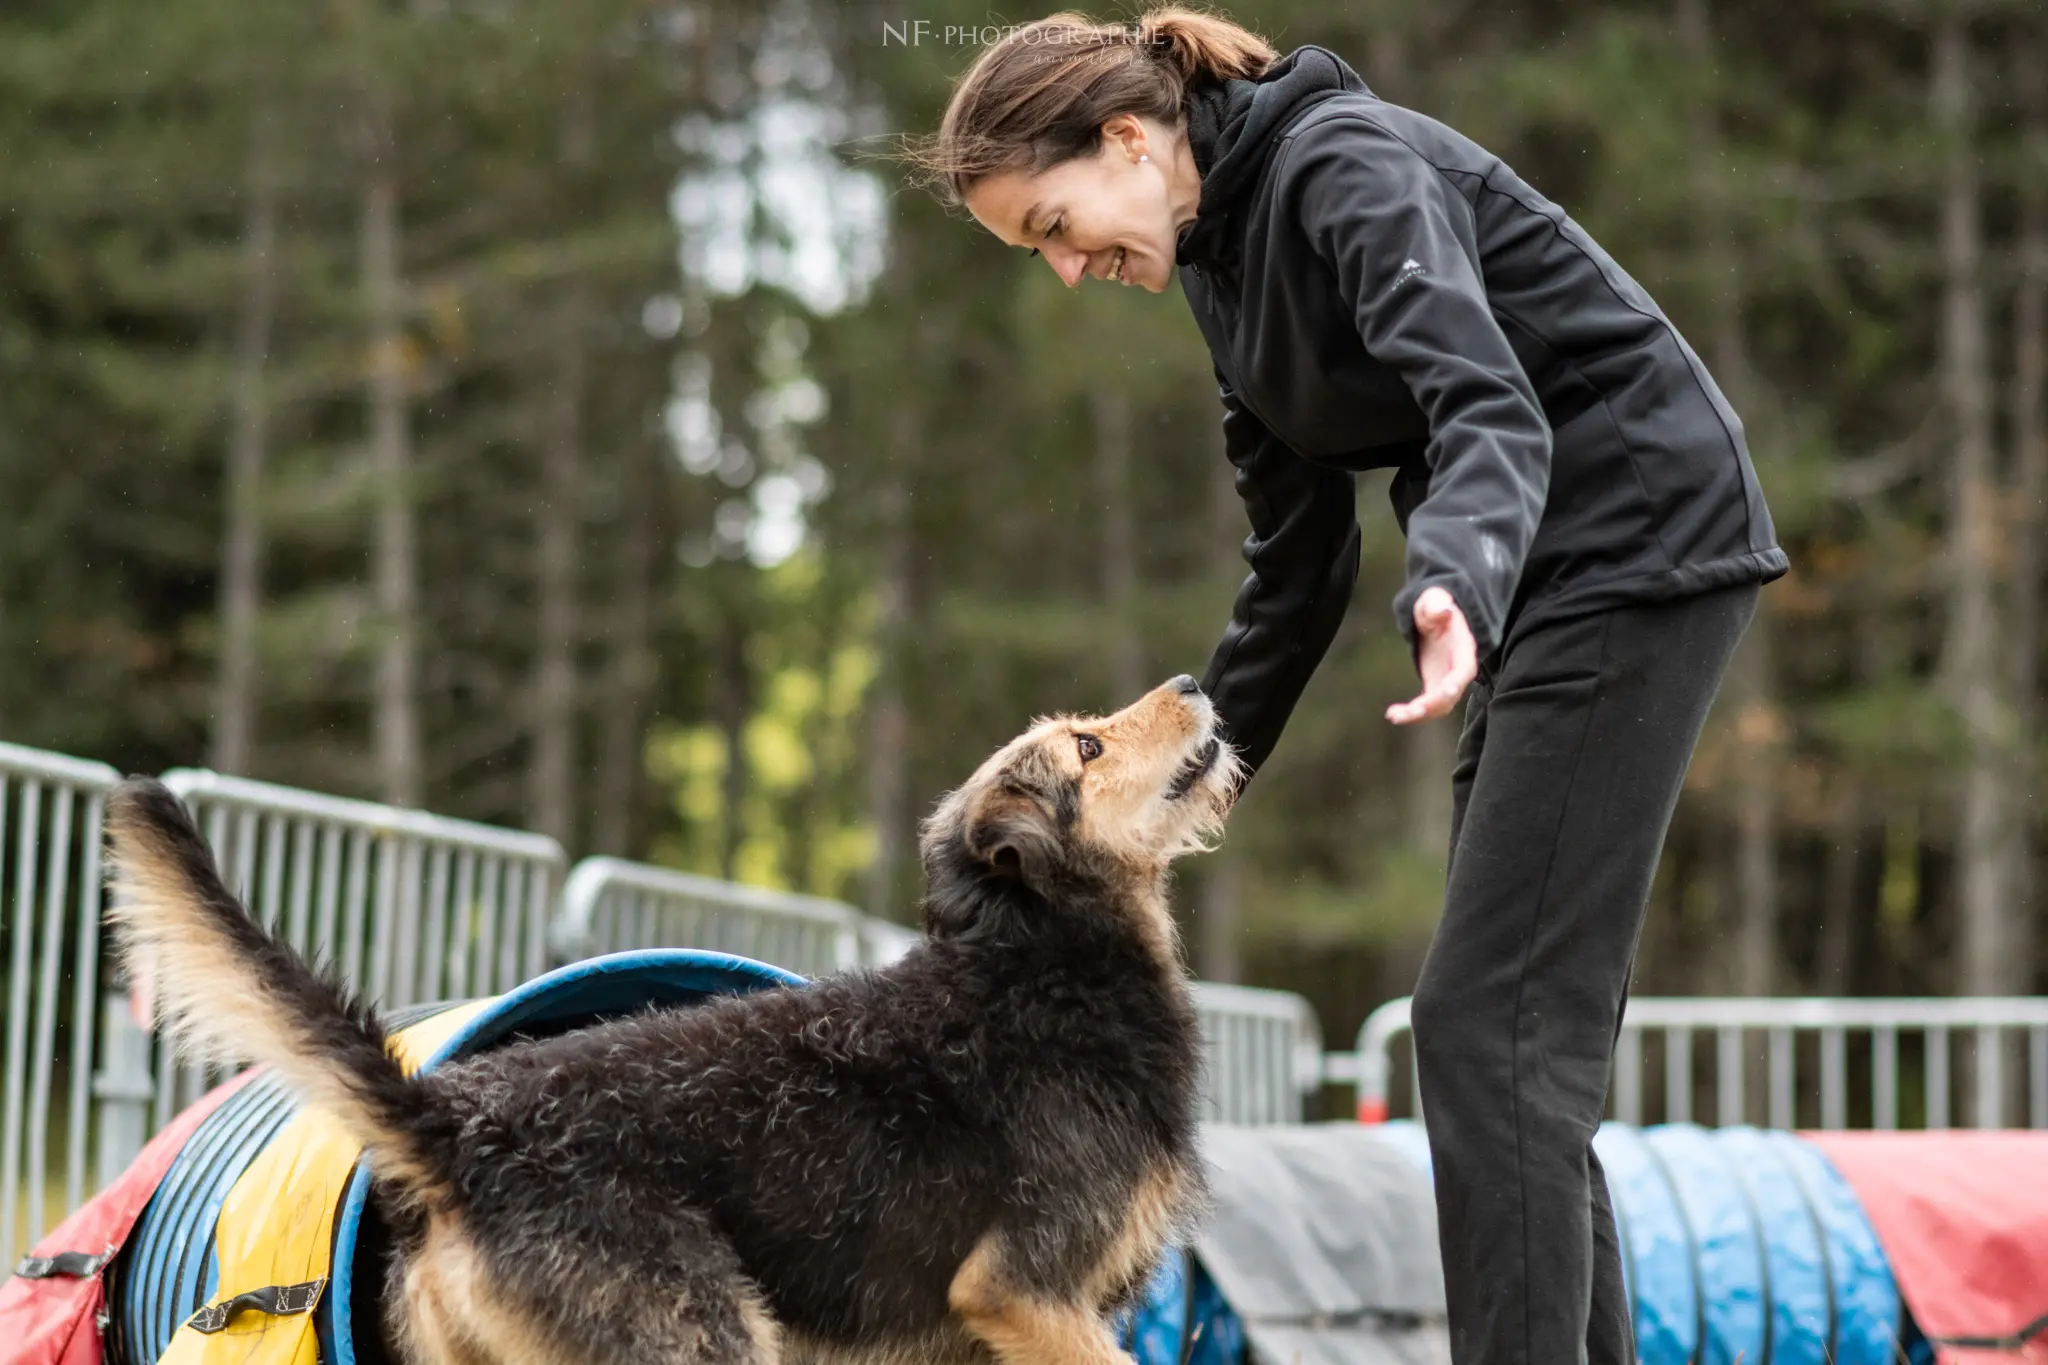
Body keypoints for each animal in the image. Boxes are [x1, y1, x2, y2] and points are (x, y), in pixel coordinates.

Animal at [103, 675, 1236, 1365]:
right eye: (1087, 745)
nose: (1192, 684)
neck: (1041, 965)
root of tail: (454, 1125)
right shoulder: (1022, 1292)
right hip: (700, 1333)